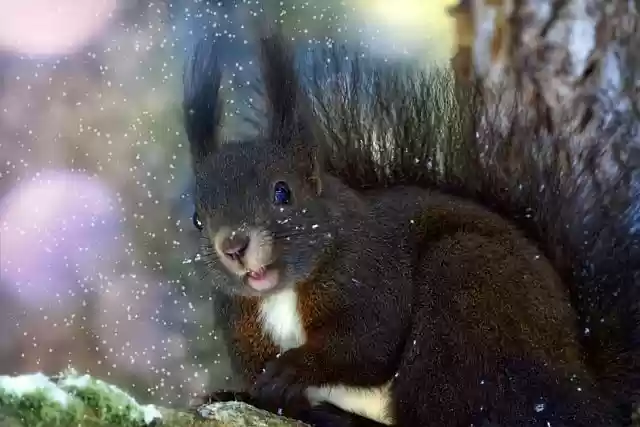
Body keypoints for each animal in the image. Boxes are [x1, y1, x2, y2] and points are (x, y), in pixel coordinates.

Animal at [182, 26, 640, 427]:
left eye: (283, 193)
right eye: (197, 218)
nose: (234, 245)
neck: (282, 295)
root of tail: (586, 393)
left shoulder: (372, 272)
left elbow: (370, 344)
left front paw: (295, 367)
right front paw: (240, 393)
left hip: (468, 299)